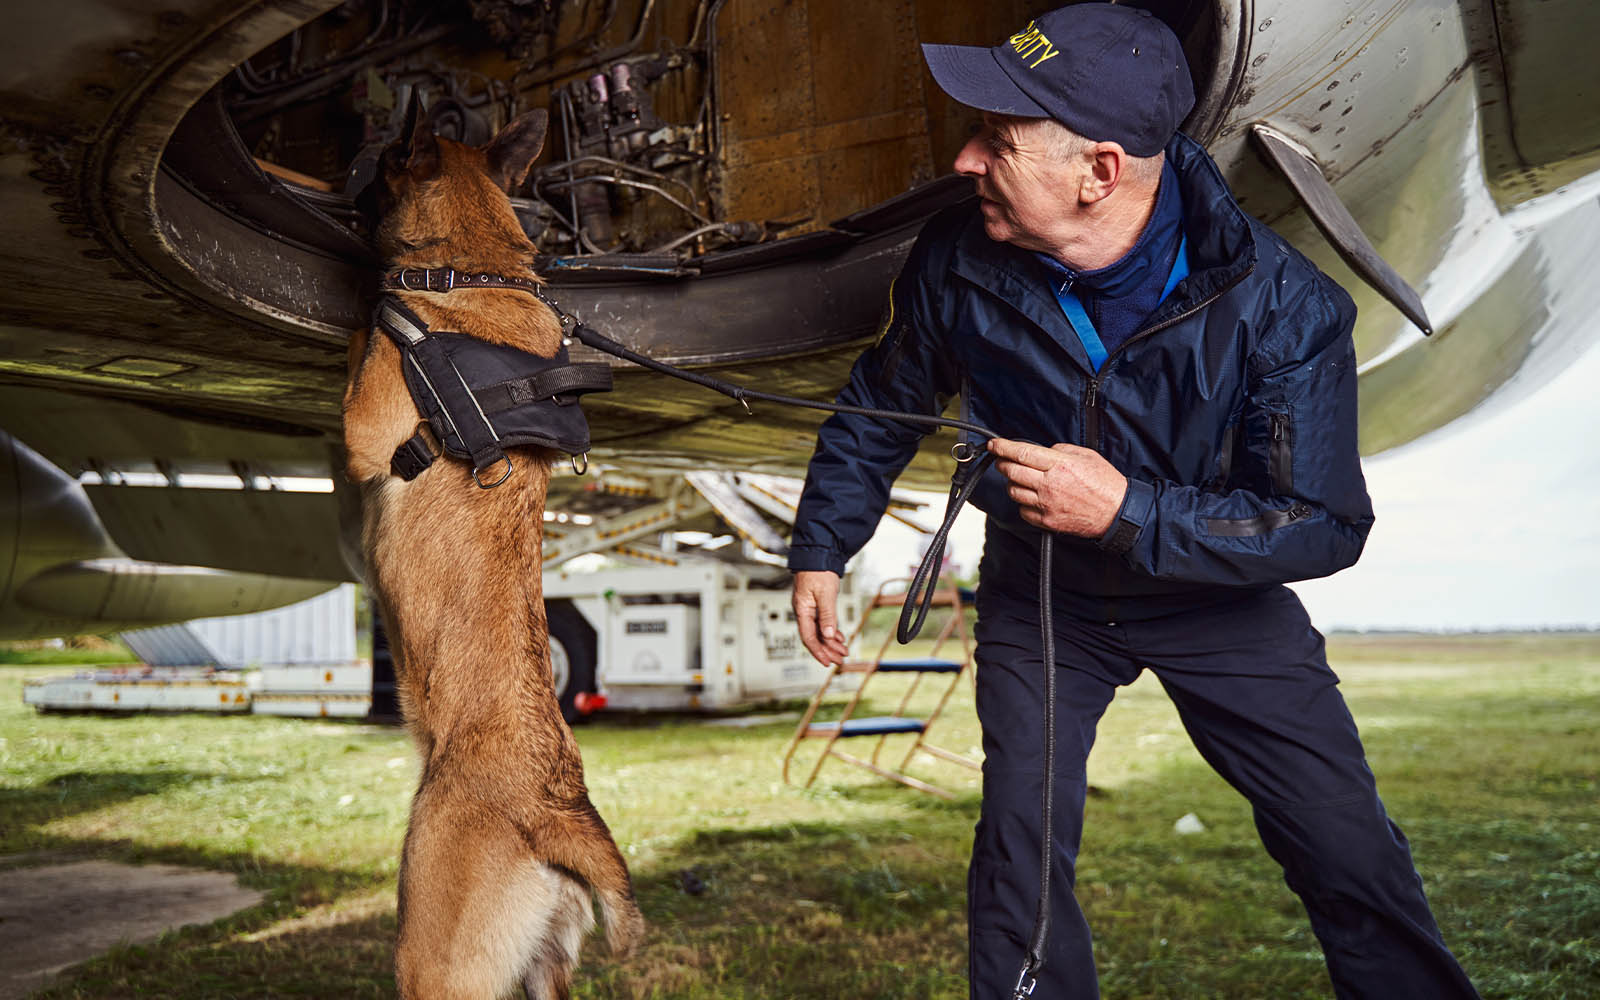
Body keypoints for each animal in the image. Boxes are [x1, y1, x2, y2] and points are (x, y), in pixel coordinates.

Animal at [344, 105, 643, 992]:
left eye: (380, 163)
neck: (477, 272)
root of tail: (558, 810)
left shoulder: (365, 428)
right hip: (544, 970)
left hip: (428, 961)